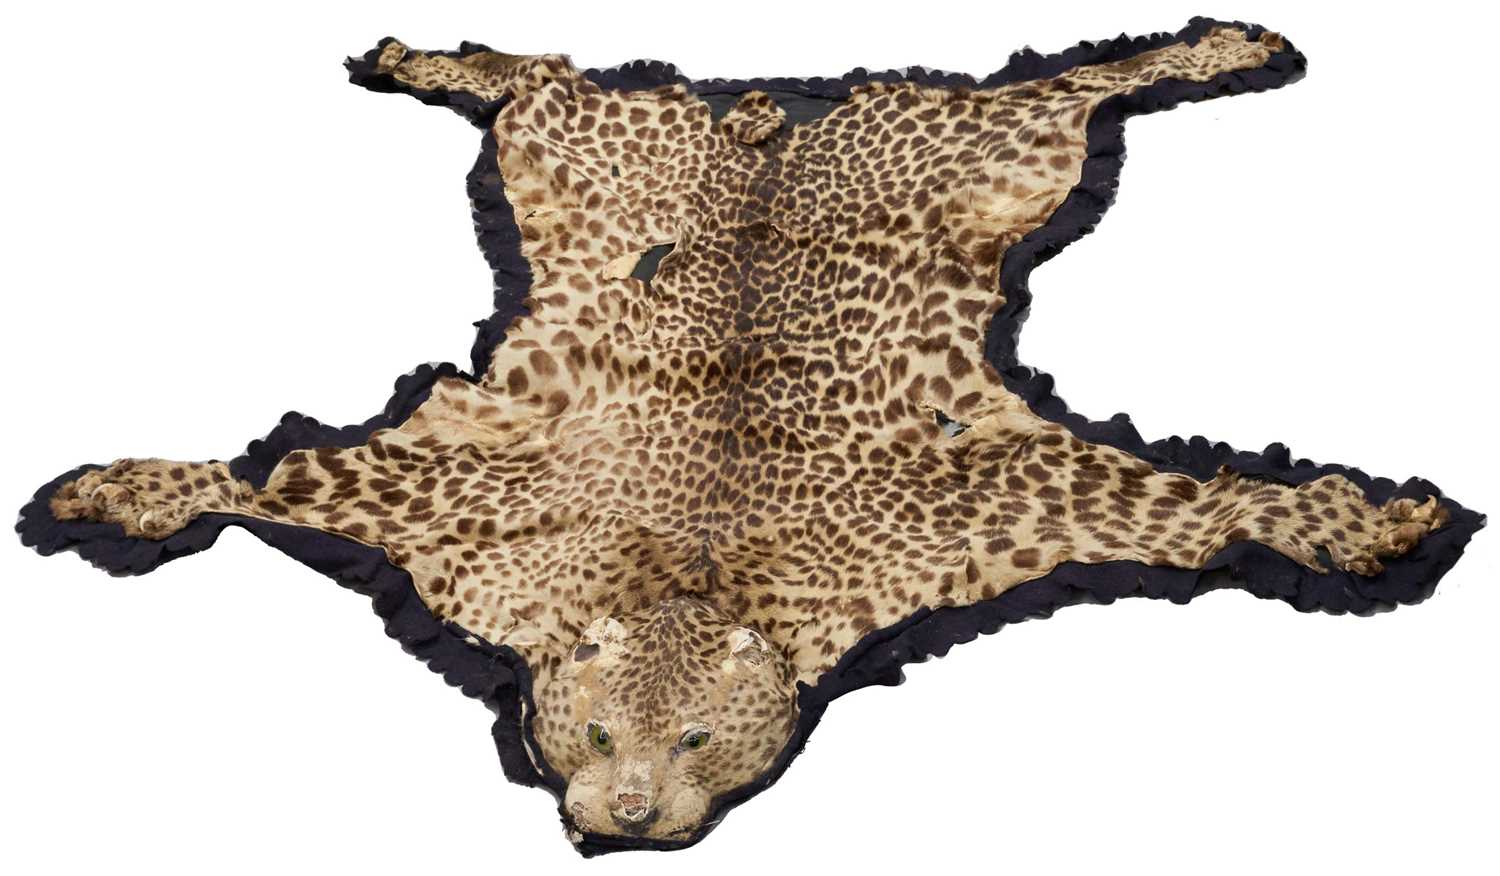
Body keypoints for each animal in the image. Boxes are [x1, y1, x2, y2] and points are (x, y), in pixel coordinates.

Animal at [25, 19, 1479, 851]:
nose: (623, 816)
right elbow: (258, 476)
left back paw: (1228, 44)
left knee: (1084, 77)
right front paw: (113, 493)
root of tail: (768, 114)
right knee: (532, 75)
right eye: (594, 735)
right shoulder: (421, 506)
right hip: (577, 151)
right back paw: (417, 60)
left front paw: (1367, 520)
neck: (691, 581)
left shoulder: (1013, 496)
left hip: (999, 155)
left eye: (690, 745)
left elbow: (1211, 506)